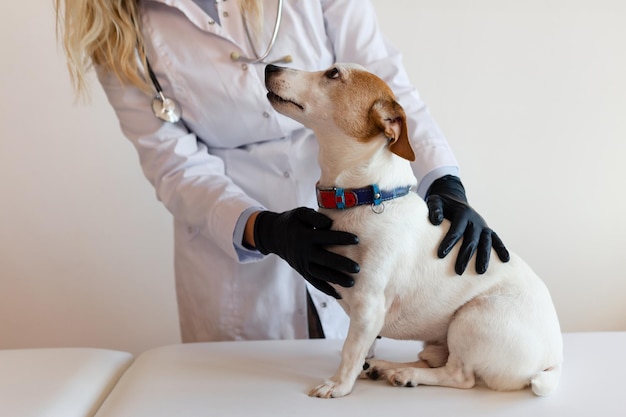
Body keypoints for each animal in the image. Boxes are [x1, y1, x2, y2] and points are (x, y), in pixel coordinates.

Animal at [264, 61, 560, 396]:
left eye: (333, 73)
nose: (270, 66)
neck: (366, 197)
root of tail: (553, 361)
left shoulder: (368, 307)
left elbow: (350, 351)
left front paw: (338, 384)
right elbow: (362, 348)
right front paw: (362, 368)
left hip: (471, 317)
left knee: (460, 376)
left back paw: (405, 374)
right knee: (431, 360)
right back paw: (388, 367)